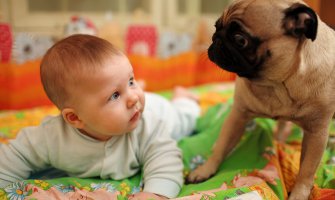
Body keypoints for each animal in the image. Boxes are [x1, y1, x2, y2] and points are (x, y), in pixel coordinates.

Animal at [188, 0, 335, 200]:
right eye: (216, 26)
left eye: (240, 40)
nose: (216, 38)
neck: (276, 85)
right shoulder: (237, 116)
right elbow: (221, 146)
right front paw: (204, 170)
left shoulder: (316, 134)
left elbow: (306, 171)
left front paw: (299, 194)